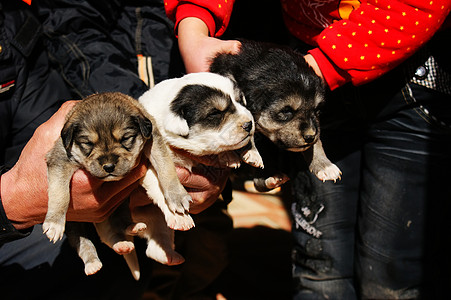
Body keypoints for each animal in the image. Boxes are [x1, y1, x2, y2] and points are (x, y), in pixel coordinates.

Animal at [210, 39, 340, 191]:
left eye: (317, 110)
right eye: (286, 111)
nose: (309, 137)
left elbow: (317, 141)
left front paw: (325, 166)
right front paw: (252, 152)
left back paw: (272, 178)